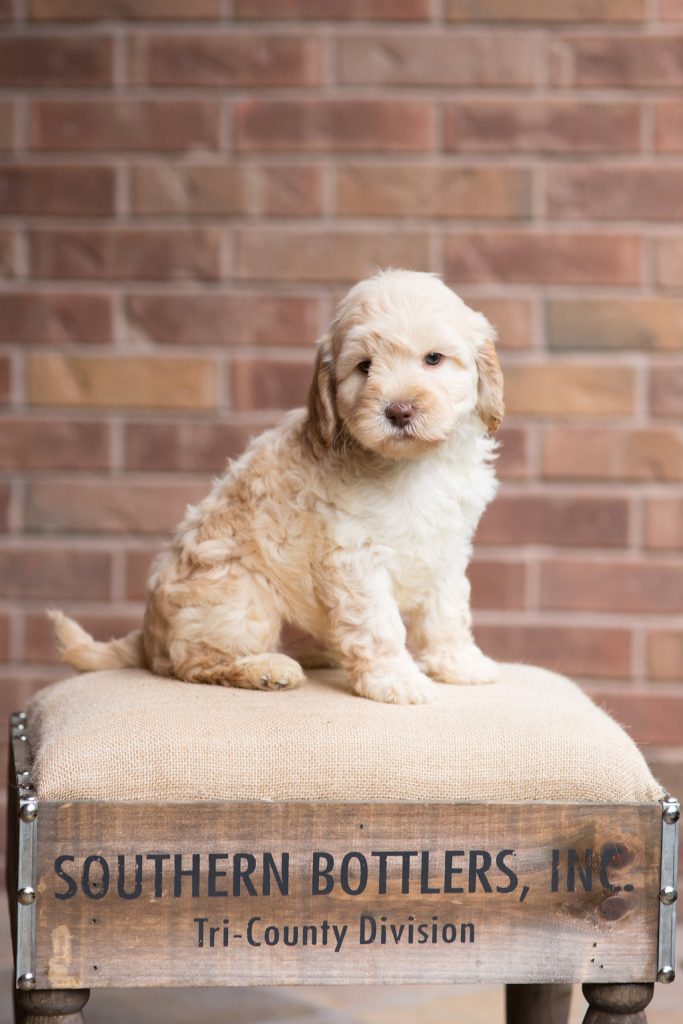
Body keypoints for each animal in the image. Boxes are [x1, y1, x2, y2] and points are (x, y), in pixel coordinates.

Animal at [50, 268, 501, 704]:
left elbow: (448, 612)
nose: (399, 410)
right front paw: (395, 680)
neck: (415, 465)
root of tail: (148, 635)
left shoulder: (447, 548)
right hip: (241, 597)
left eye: (434, 359)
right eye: (364, 366)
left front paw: (460, 664)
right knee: (192, 662)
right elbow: (380, 625)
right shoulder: (357, 558)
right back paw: (265, 669)